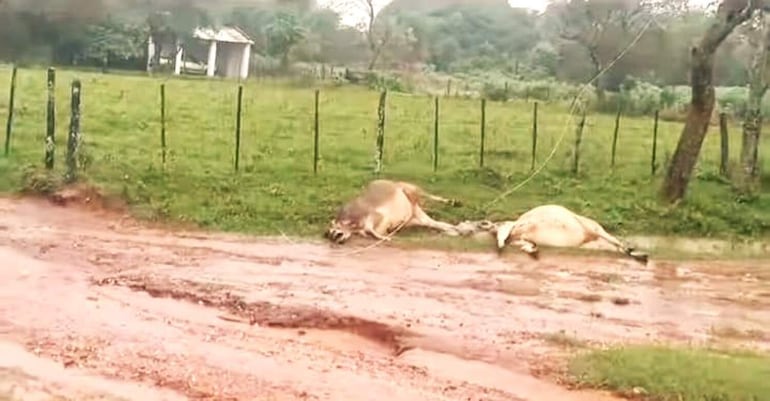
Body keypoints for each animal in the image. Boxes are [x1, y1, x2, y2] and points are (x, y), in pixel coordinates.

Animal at [322, 179, 460, 244]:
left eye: (336, 234)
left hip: (409, 189)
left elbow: (374, 229)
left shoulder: (375, 214)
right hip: (415, 216)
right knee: (433, 222)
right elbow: (369, 231)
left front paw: (384, 236)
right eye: (331, 236)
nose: (338, 241)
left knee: (424, 196)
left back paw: (450, 202)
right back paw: (454, 229)